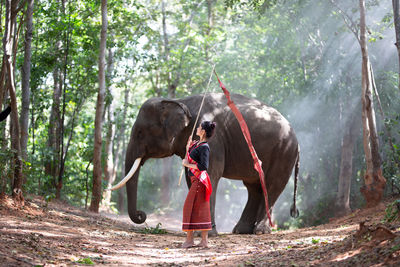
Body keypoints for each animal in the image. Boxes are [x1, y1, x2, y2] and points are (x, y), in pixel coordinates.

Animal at [111, 93, 298, 236]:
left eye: (140, 133)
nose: (141, 215)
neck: (179, 101)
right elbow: (192, 177)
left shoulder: (213, 141)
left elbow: (210, 174)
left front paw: (205, 233)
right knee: (255, 188)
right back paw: (241, 231)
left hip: (284, 153)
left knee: (272, 185)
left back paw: (260, 231)